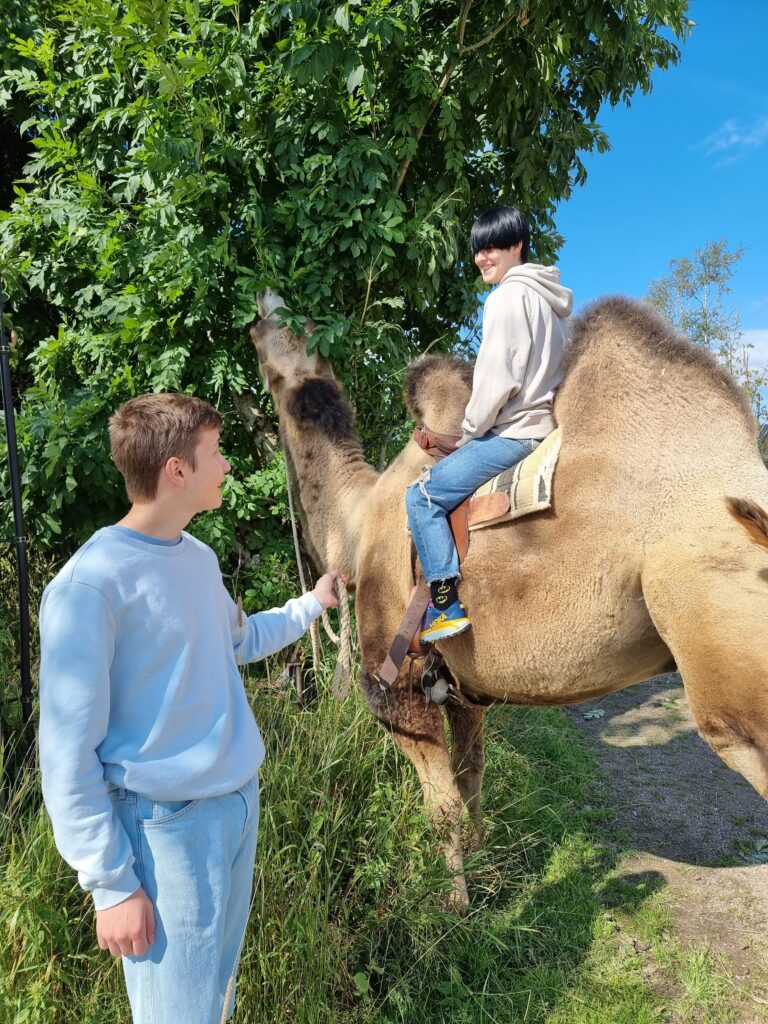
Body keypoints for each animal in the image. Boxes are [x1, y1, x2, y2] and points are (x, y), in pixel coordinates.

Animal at [250, 290, 768, 913]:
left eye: (272, 328)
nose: (262, 300)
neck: (354, 528)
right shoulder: (462, 688)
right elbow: (472, 781)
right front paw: (479, 870)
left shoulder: (396, 686)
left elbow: (444, 808)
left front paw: (454, 907)